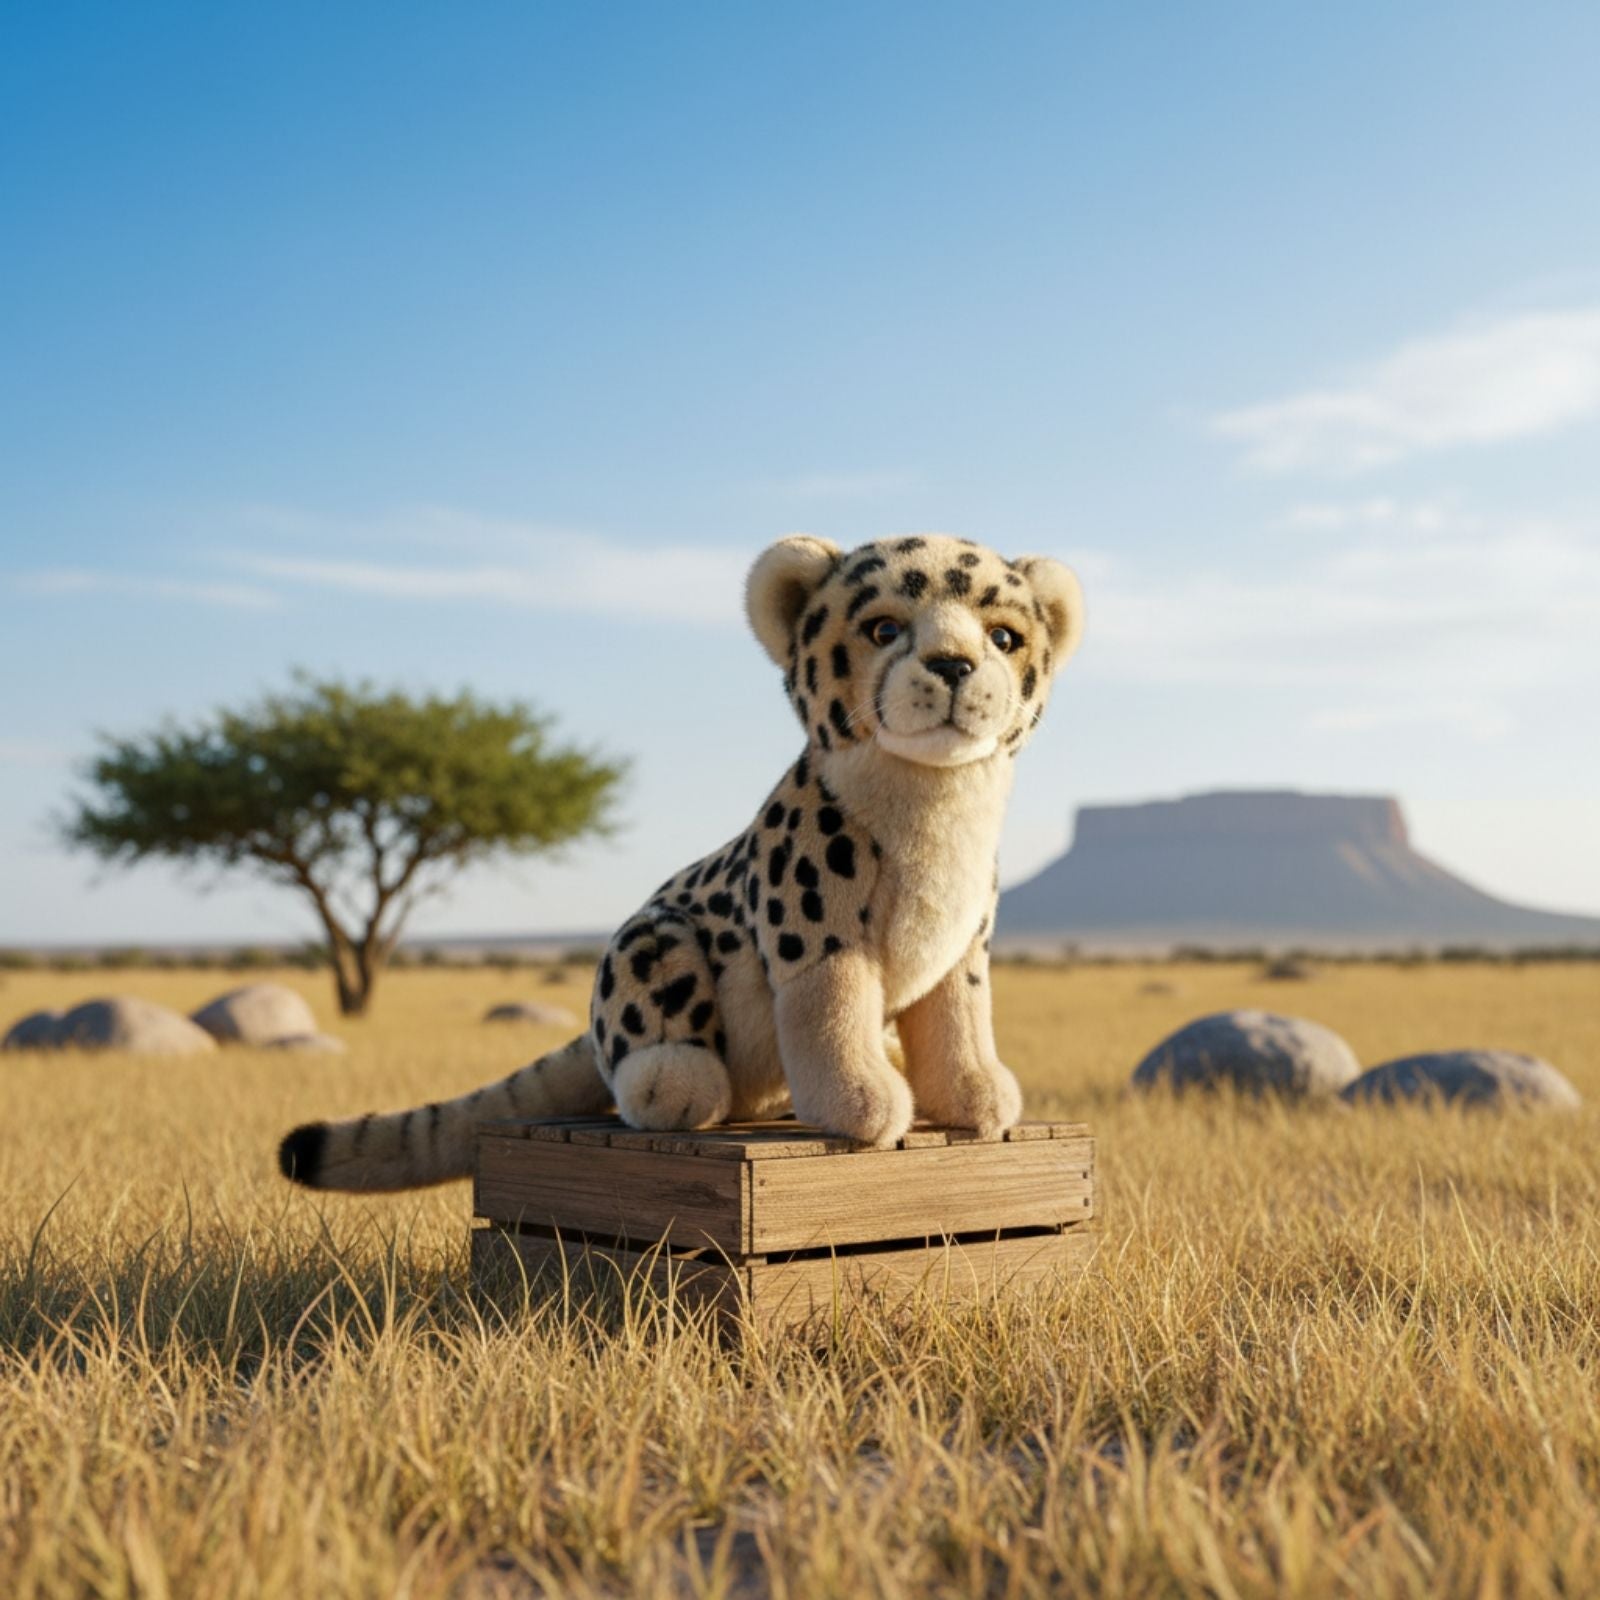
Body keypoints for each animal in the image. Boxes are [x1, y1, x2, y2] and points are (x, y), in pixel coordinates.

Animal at [278, 532, 1083, 1191]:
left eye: (1004, 636)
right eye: (884, 628)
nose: (954, 664)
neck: (935, 798)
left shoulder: (961, 948)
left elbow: (958, 1017)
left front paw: (974, 1096)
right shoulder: (817, 939)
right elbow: (832, 1014)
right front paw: (862, 1101)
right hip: (653, 934)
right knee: (648, 1030)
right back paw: (678, 1083)